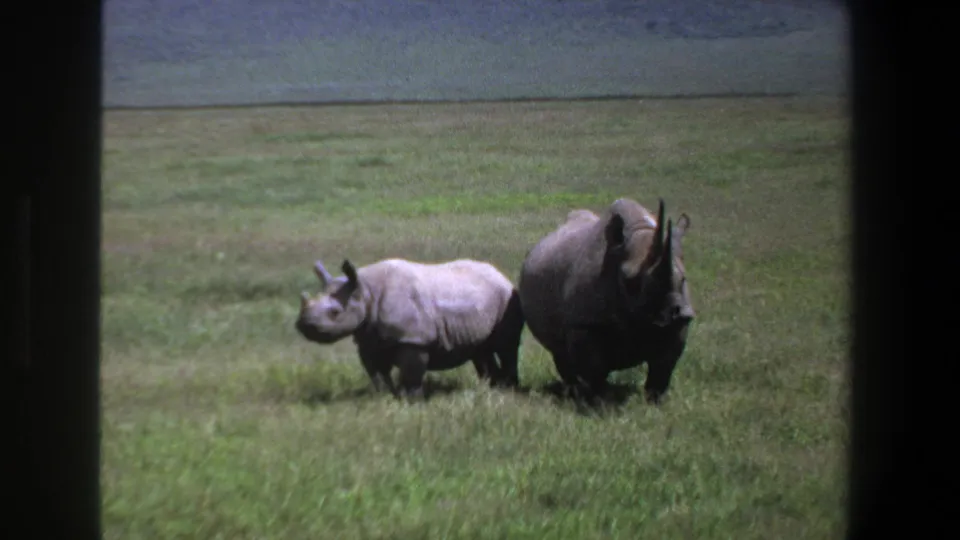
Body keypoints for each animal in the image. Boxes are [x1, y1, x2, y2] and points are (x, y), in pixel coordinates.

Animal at [295, 257, 524, 400]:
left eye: (335, 313)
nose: (303, 325)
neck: (365, 291)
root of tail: (500, 274)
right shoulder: (368, 337)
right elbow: (376, 372)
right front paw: (385, 397)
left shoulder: (413, 338)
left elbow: (412, 372)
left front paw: (411, 400)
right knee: (480, 350)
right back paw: (491, 387)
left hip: (506, 297)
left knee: (507, 346)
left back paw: (509, 389)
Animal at [517, 198, 695, 405]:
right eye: (629, 281)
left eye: (683, 279)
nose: (680, 314)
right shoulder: (584, 323)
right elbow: (594, 368)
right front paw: (596, 402)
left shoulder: (678, 324)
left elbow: (663, 367)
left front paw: (655, 403)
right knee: (560, 352)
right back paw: (572, 391)